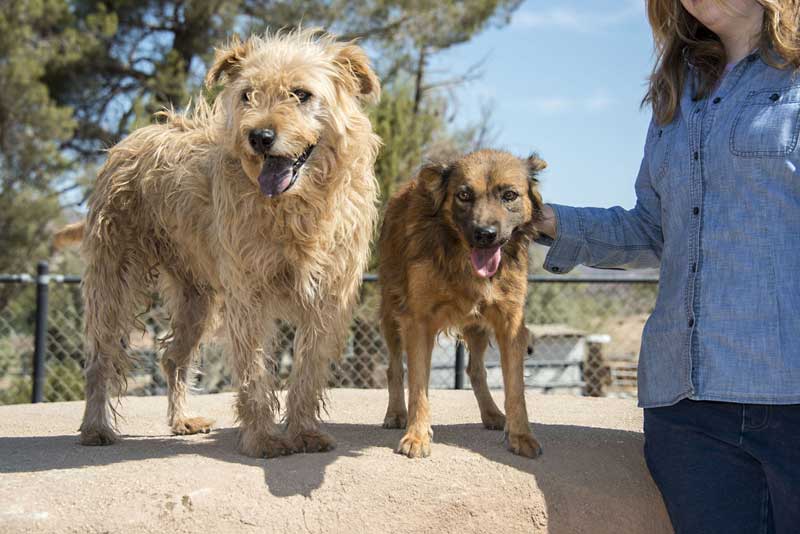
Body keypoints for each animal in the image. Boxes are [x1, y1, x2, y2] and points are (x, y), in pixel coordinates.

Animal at [75, 29, 382, 458]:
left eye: (301, 94)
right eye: (247, 95)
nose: (259, 137)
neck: (295, 208)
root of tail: (127, 142)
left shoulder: (327, 298)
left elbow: (307, 371)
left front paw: (304, 433)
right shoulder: (248, 293)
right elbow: (254, 373)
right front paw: (263, 439)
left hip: (196, 300)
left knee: (172, 356)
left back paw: (181, 420)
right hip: (113, 282)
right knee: (100, 359)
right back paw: (95, 427)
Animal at [380, 150, 544, 460]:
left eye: (509, 195)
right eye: (464, 195)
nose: (485, 234)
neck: (461, 257)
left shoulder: (510, 322)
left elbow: (515, 388)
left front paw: (521, 435)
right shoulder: (417, 320)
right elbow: (418, 386)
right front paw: (417, 435)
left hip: (477, 327)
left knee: (475, 370)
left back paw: (492, 413)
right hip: (391, 314)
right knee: (395, 369)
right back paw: (395, 413)